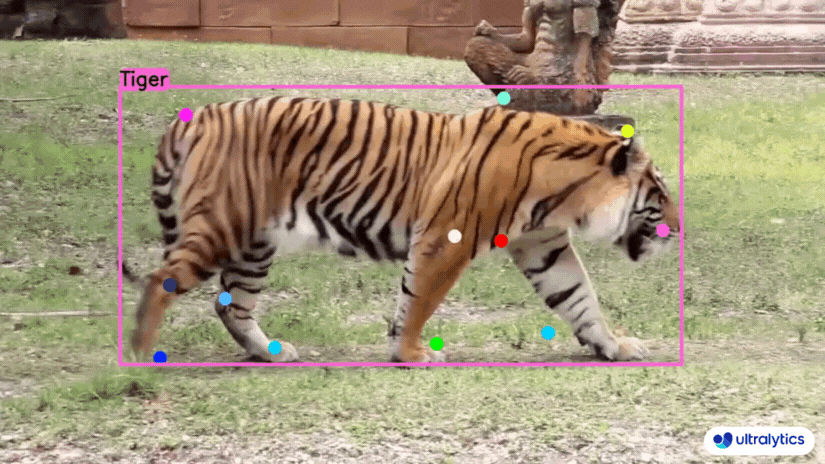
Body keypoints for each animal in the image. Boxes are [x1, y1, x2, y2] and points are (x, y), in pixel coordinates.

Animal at [129, 95, 679, 363]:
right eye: (659, 193)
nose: (678, 227)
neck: (565, 195)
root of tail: (198, 115)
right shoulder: (446, 237)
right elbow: (420, 299)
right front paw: (410, 352)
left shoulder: (544, 246)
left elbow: (580, 298)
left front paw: (614, 346)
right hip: (222, 226)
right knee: (161, 281)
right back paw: (139, 355)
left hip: (254, 243)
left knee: (232, 306)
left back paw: (270, 353)